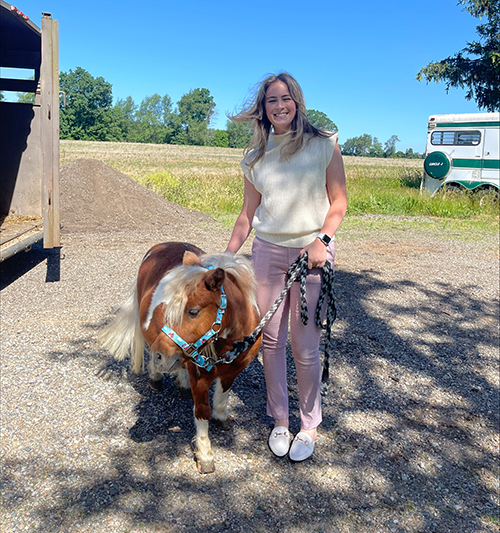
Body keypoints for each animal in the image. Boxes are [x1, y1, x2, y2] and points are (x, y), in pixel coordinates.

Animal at [98, 243, 262, 472]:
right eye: (165, 309)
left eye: (193, 311)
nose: (161, 357)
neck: (230, 342)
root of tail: (160, 246)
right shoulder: (200, 378)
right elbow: (202, 411)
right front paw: (205, 454)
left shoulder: (232, 371)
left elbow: (222, 397)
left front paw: (221, 418)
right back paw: (156, 378)